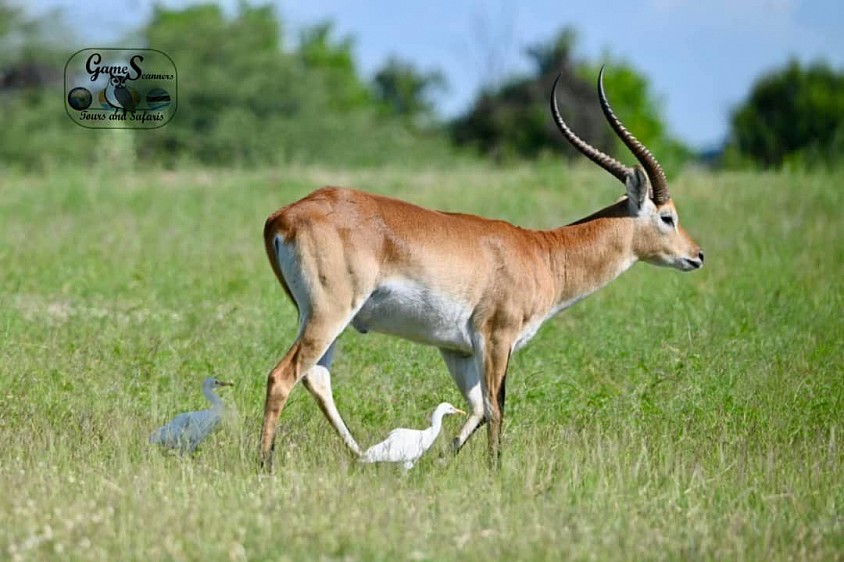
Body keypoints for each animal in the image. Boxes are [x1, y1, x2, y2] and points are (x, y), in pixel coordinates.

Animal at [259, 68, 704, 470]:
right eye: (668, 217)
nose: (697, 255)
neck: (542, 253)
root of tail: (284, 215)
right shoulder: (496, 338)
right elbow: (496, 406)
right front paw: (495, 470)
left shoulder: (456, 349)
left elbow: (474, 408)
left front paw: (442, 460)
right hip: (329, 313)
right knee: (283, 376)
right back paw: (265, 464)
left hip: (322, 319)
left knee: (317, 379)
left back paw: (362, 456)